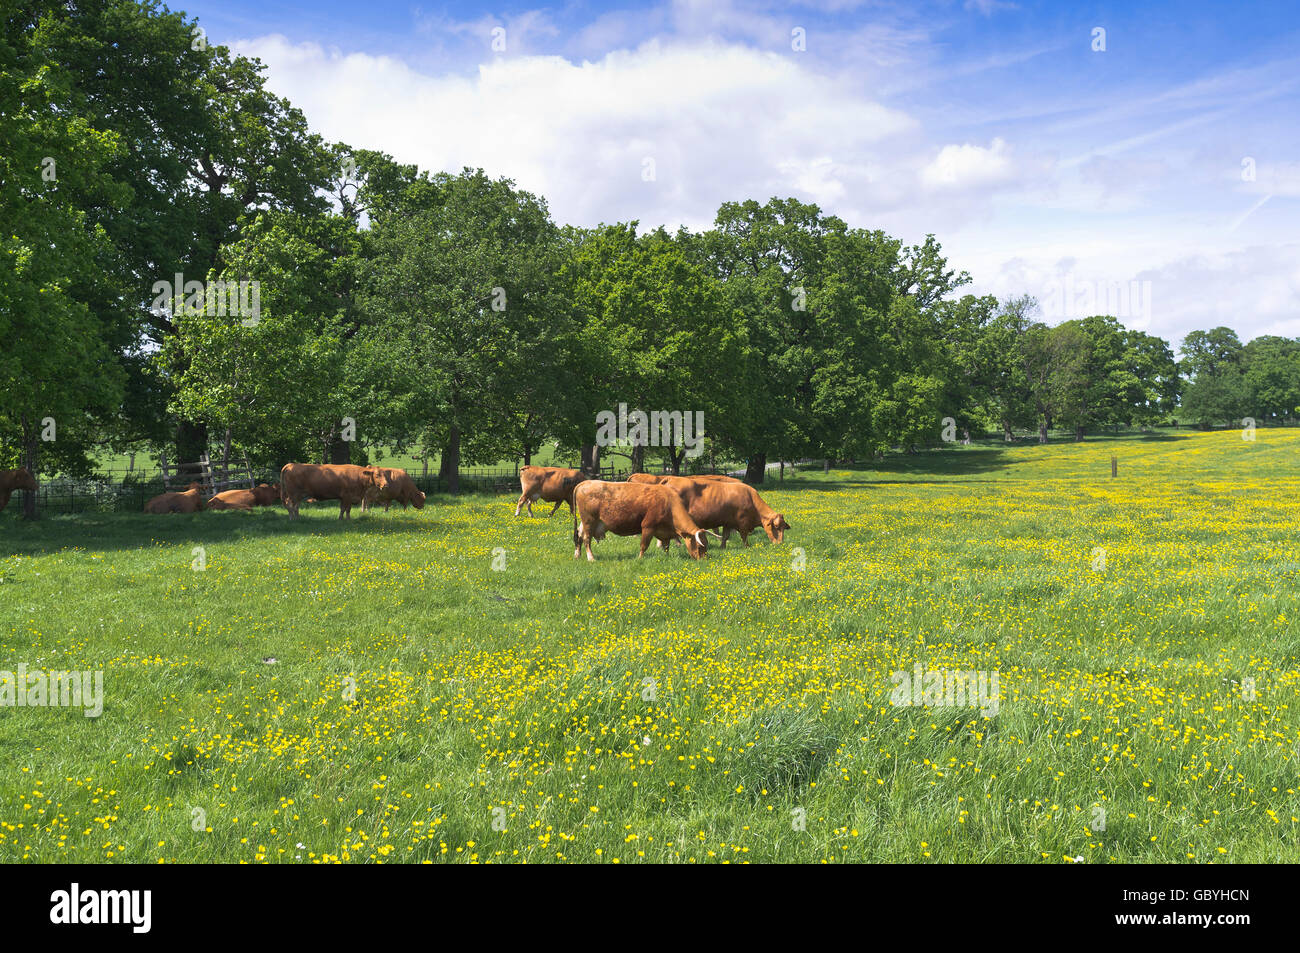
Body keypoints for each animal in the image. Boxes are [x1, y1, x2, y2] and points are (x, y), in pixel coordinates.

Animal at [572, 483, 707, 556]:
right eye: (700, 547)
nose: (704, 559)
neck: (669, 502)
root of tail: (585, 482)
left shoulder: (665, 532)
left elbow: (666, 546)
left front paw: (667, 556)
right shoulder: (647, 526)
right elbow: (644, 546)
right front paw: (639, 558)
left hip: (587, 522)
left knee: (579, 536)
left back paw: (577, 555)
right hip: (589, 521)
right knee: (586, 539)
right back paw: (591, 558)